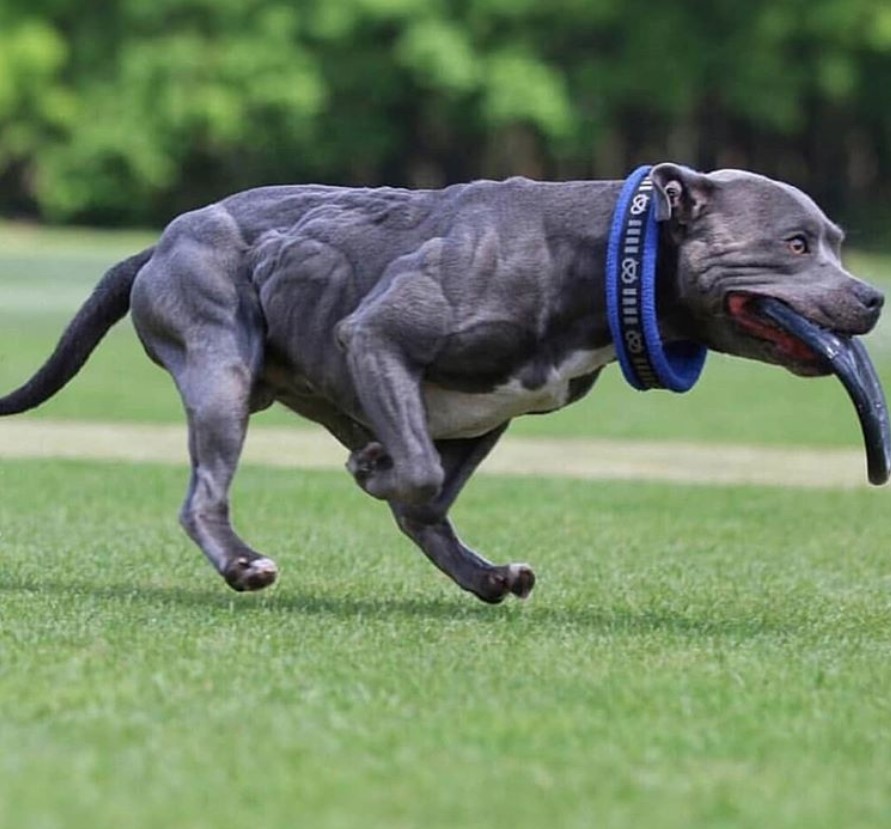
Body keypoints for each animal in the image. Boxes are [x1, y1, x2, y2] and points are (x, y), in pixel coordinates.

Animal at [0, 163, 880, 600]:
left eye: (836, 241)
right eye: (795, 244)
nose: (872, 296)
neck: (603, 257)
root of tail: (157, 242)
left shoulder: (486, 415)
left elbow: (425, 491)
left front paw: (389, 483)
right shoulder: (378, 336)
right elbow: (417, 472)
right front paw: (374, 471)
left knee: (418, 513)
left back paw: (484, 575)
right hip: (221, 364)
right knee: (203, 494)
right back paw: (242, 562)